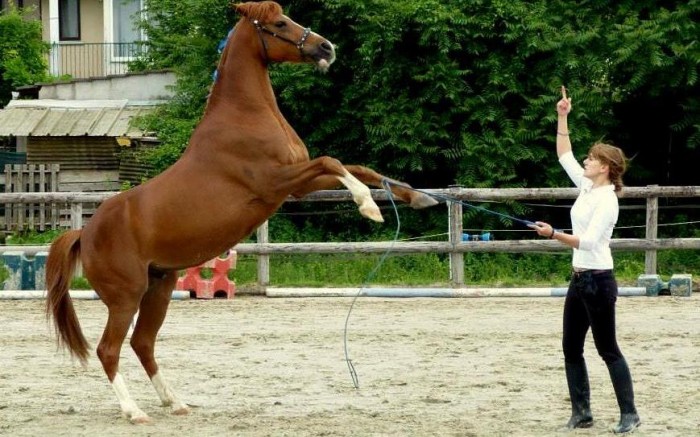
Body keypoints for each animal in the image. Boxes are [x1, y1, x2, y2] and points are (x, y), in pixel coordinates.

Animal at [45, 0, 432, 422]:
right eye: (280, 23)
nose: (326, 48)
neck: (245, 116)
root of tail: (85, 232)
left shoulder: (296, 184)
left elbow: (358, 168)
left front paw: (419, 198)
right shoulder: (275, 182)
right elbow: (334, 162)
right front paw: (369, 207)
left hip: (159, 288)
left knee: (142, 343)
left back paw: (175, 402)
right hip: (125, 297)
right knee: (109, 349)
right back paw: (134, 411)